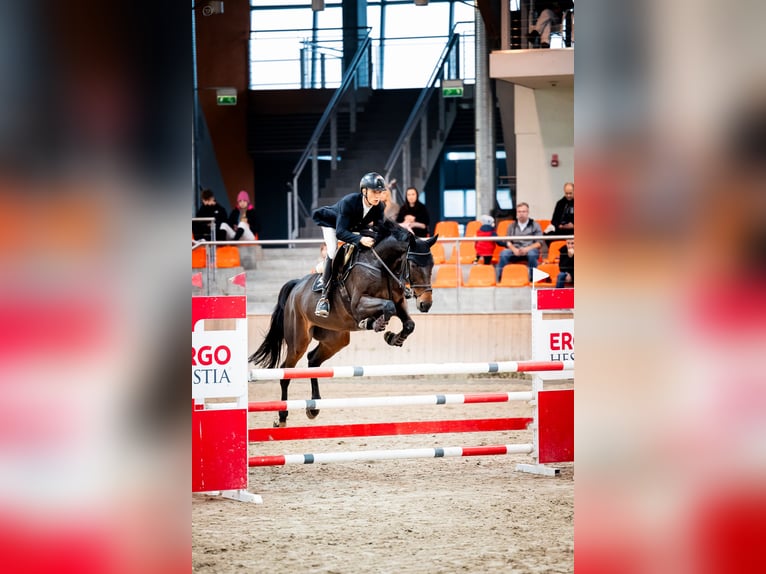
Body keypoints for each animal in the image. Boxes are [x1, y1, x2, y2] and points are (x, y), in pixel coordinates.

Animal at [248, 220, 436, 428]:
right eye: (414, 264)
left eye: (432, 265)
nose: (425, 304)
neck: (380, 266)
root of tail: (296, 287)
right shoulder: (358, 305)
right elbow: (387, 307)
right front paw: (375, 324)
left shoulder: (399, 301)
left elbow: (407, 322)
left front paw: (393, 338)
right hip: (299, 340)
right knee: (286, 372)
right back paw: (282, 417)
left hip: (336, 339)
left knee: (313, 360)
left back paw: (313, 407)